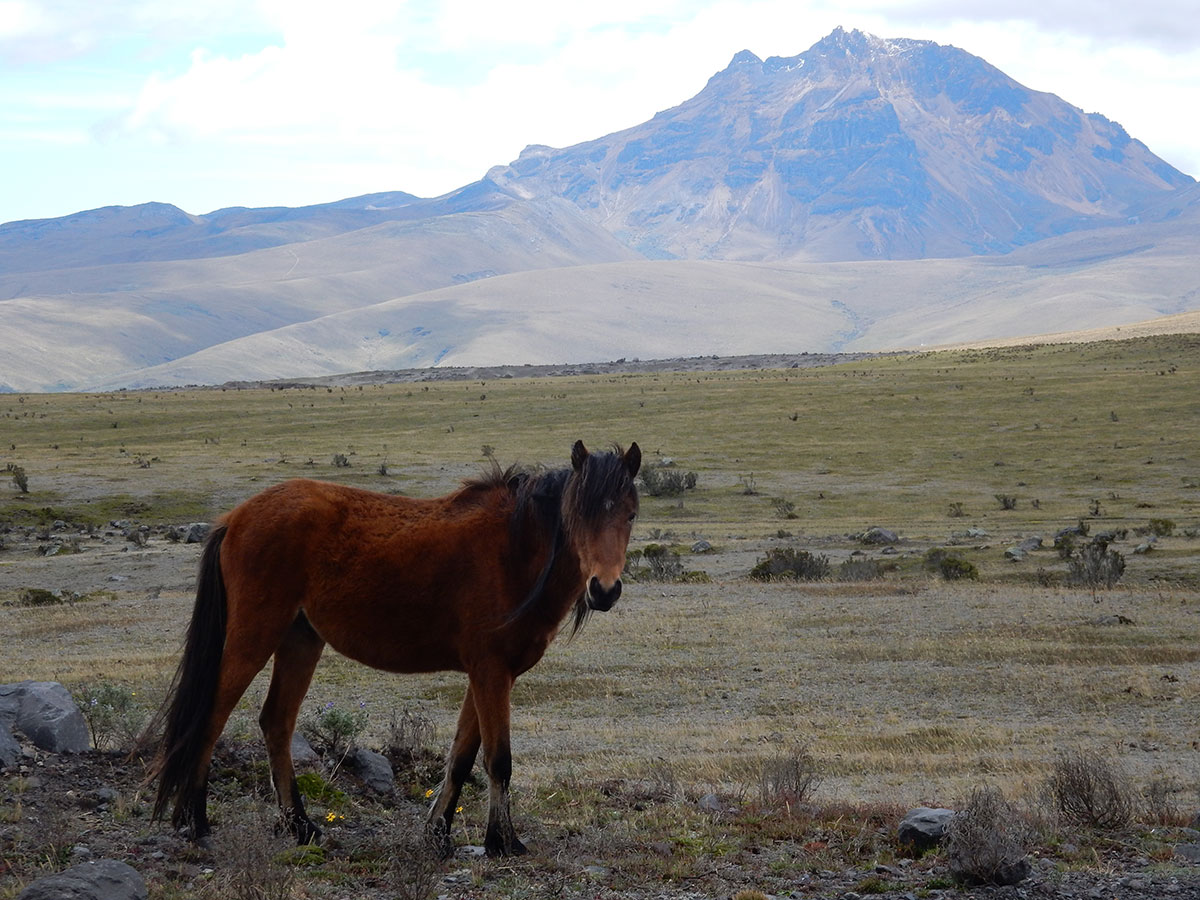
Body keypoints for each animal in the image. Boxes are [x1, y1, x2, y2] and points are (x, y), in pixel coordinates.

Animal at [152, 441, 638, 859]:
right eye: (579, 514)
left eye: (631, 514)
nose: (604, 590)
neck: (514, 553)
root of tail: (236, 516)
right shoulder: (491, 672)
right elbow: (498, 760)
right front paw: (504, 841)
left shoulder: (487, 675)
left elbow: (461, 757)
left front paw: (438, 833)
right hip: (254, 636)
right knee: (212, 718)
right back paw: (197, 823)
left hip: (300, 640)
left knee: (276, 723)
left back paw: (302, 827)